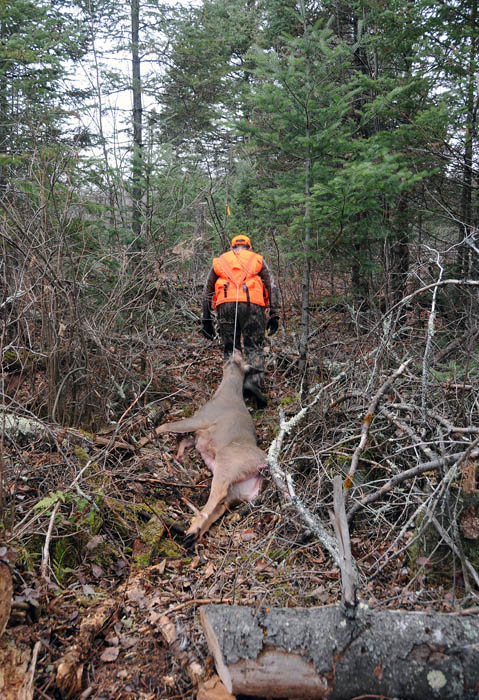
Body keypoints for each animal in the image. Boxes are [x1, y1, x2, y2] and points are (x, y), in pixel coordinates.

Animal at [144, 352, 268, 544]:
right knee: (221, 506)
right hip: (240, 488)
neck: (226, 394)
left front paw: (140, 439)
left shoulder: (199, 419)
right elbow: (185, 441)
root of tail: (264, 463)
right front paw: (178, 455)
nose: (234, 351)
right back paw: (193, 534)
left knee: (217, 494)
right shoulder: (200, 436)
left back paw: (191, 529)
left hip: (227, 463)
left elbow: (165, 426)